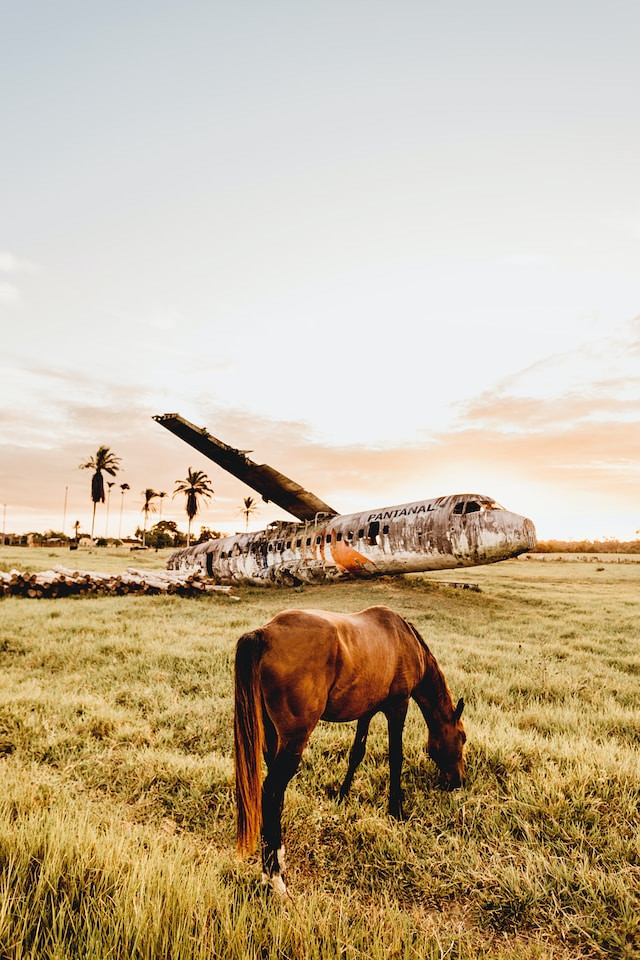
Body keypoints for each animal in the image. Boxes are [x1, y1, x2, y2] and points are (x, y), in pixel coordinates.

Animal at [234, 604, 464, 896]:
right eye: (462, 738)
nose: (458, 781)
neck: (404, 639)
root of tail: (266, 633)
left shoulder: (367, 710)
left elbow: (357, 752)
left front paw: (342, 795)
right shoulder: (398, 707)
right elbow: (396, 757)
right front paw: (396, 810)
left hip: (273, 738)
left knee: (275, 798)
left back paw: (277, 860)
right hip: (294, 740)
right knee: (272, 792)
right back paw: (274, 877)